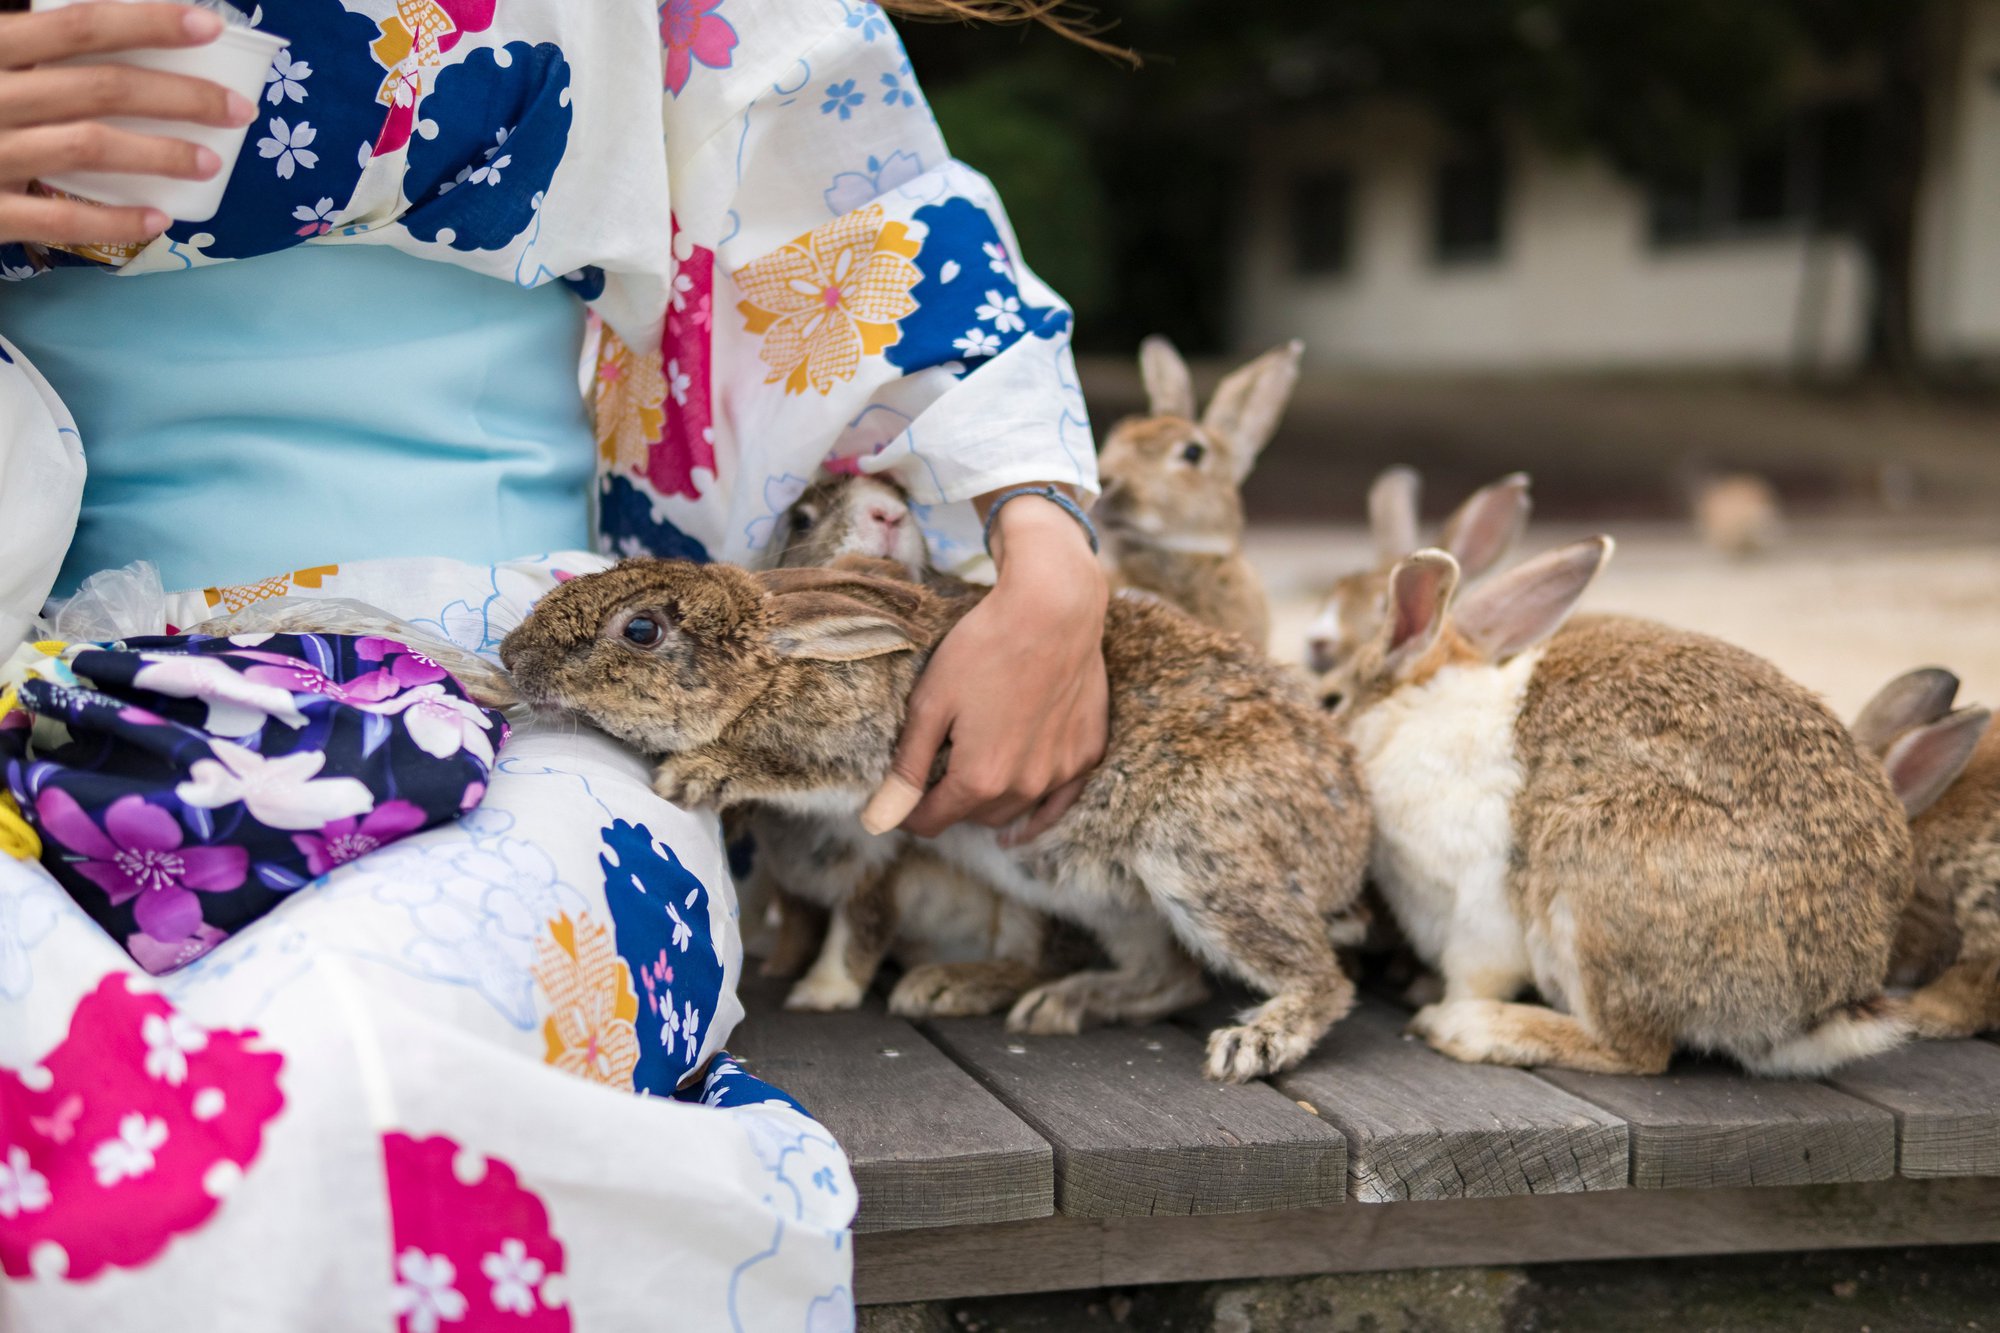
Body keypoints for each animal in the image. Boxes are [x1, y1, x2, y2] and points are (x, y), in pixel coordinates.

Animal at [504, 548, 1376, 1080]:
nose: (512, 656)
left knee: (1323, 980)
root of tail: (1350, 842)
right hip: (1102, 893)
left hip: (1197, 861)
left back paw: (1254, 1041)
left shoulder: (862, 752)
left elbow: (787, 767)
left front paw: (697, 774)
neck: (778, 663)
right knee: (1170, 974)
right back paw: (1052, 1003)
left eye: (641, 629)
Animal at [1320, 536, 1912, 1072]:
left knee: (1633, 1052)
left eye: (1329, 699)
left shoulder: (1477, 907)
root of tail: (1827, 1008)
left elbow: (1475, 970)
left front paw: (1441, 1006)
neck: (1405, 716)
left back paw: (1469, 1029)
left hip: (1589, 874)